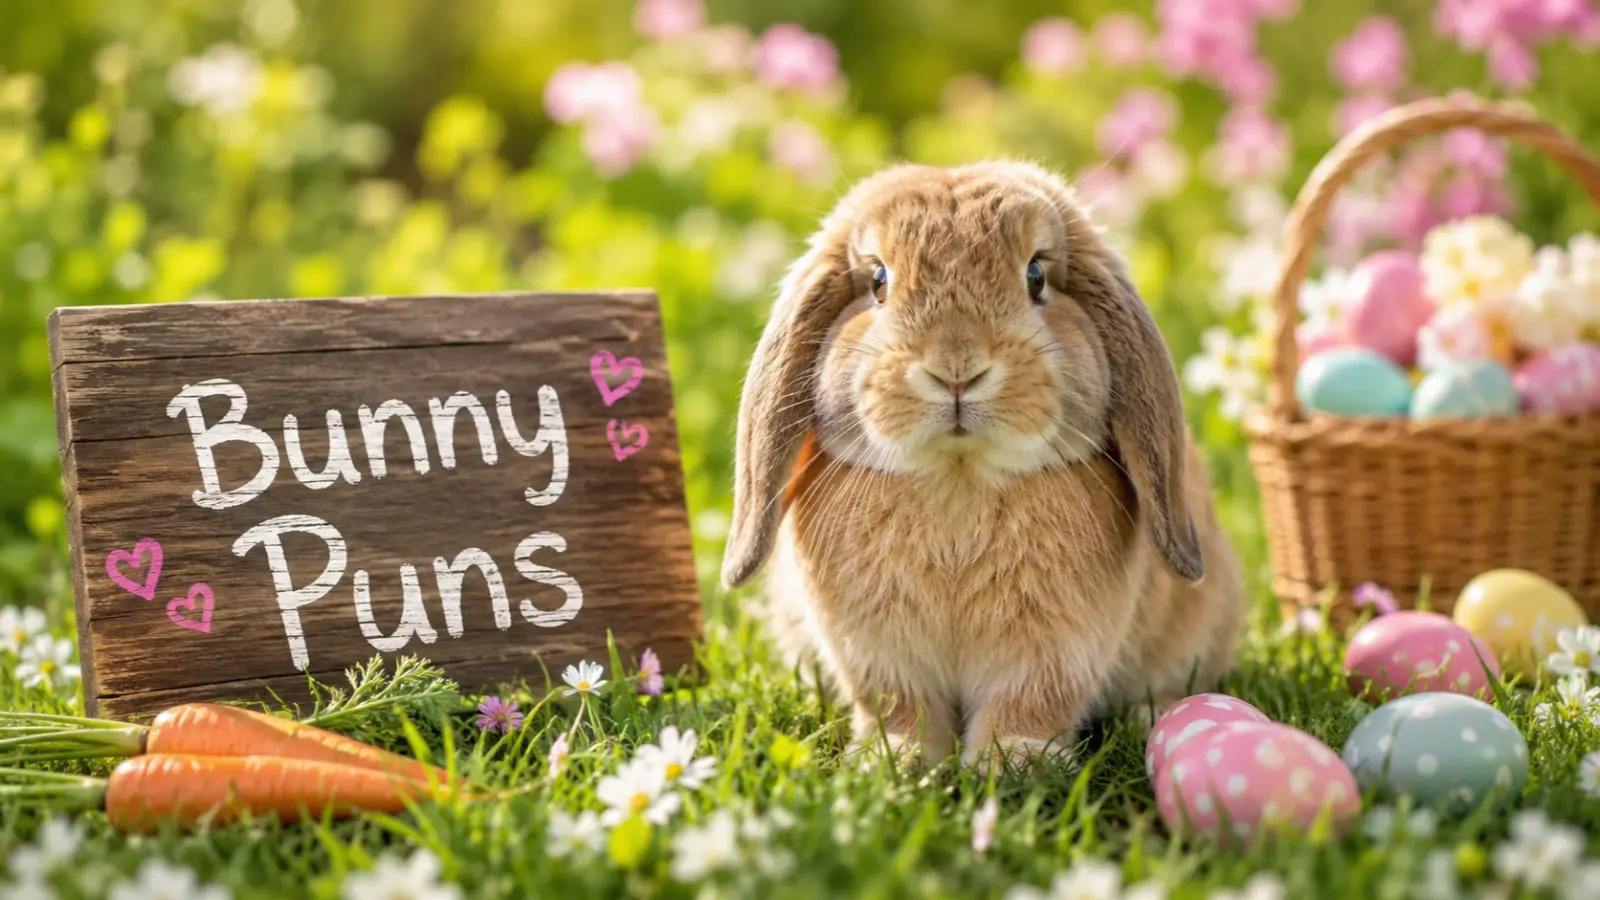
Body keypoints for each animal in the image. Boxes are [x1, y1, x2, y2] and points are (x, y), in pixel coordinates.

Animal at [720, 159, 1246, 770]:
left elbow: (1031, 702)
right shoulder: (877, 654)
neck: (958, 477)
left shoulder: (1054, 651)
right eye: (878, 282)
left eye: (1036, 276)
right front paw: (896, 761)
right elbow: (897, 705)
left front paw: (1015, 762)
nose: (956, 367)